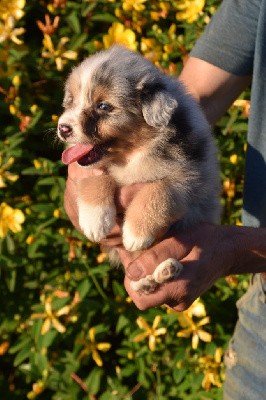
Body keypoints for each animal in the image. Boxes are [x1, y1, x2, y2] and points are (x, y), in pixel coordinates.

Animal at [57, 45, 220, 294]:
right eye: (72, 101)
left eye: (103, 106)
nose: (62, 128)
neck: (131, 156)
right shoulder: (88, 170)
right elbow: (97, 179)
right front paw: (95, 220)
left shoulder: (189, 178)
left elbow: (158, 192)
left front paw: (135, 234)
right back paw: (147, 281)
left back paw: (165, 270)